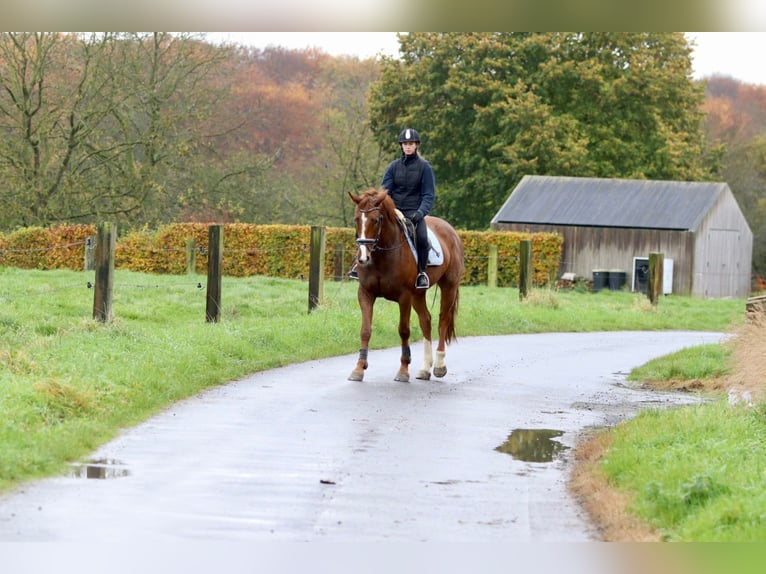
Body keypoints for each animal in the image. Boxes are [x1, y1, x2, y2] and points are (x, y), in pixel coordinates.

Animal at [350, 189, 468, 384]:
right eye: (357, 219)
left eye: (376, 220)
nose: (363, 258)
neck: (382, 257)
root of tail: (450, 230)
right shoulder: (365, 293)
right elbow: (365, 330)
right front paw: (359, 368)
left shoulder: (404, 296)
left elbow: (404, 330)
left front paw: (404, 370)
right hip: (418, 294)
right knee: (426, 320)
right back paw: (425, 369)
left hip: (448, 286)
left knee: (443, 319)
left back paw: (439, 366)